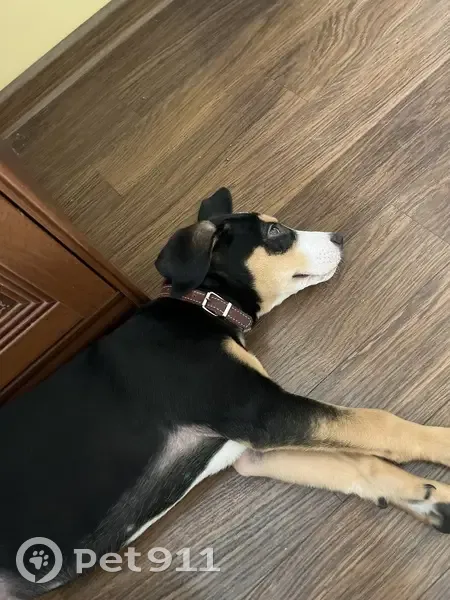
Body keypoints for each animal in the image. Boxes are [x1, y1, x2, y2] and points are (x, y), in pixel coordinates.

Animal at [1, 188, 449, 599]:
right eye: (274, 232)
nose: (339, 237)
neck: (203, 303)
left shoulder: (247, 448)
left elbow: (357, 462)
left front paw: (432, 497)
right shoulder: (263, 411)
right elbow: (377, 423)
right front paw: (442, 446)